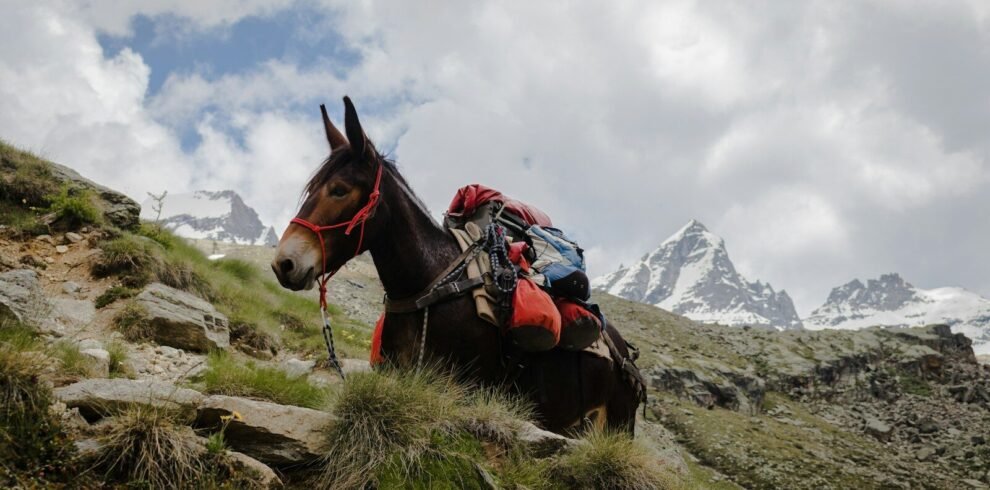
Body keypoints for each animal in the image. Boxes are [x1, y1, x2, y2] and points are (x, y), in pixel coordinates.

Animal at [271, 96, 643, 434]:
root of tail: (624, 351)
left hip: (614, 425)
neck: (427, 288)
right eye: (311, 189)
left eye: (339, 190)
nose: (284, 264)